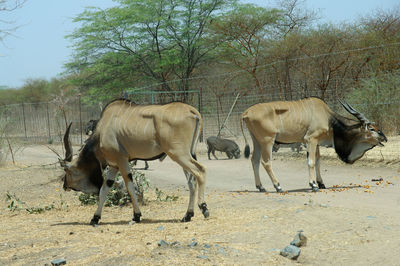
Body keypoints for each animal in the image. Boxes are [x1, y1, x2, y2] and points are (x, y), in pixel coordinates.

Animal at [60, 98, 209, 225]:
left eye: (66, 171)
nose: (64, 185)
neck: (103, 129)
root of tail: (192, 111)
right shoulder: (114, 165)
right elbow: (105, 189)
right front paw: (95, 218)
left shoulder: (122, 160)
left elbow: (130, 187)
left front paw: (136, 216)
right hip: (186, 155)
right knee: (191, 181)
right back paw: (187, 215)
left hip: (178, 154)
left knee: (200, 171)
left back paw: (204, 207)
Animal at [241, 96, 388, 192]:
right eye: (372, 129)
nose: (385, 138)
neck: (329, 120)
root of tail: (246, 113)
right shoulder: (310, 140)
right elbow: (311, 162)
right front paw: (313, 185)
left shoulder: (316, 142)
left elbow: (317, 161)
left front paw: (321, 183)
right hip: (268, 140)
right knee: (265, 162)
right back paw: (278, 186)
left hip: (257, 140)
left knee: (254, 160)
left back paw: (261, 187)